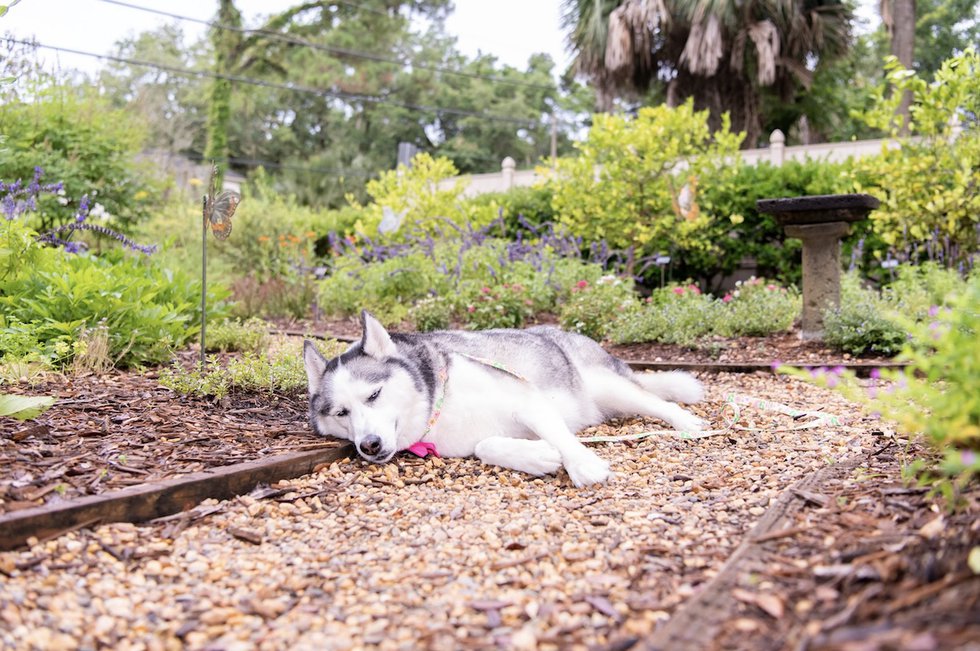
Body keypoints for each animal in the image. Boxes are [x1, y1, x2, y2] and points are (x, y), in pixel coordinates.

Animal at [302, 312, 708, 488]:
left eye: (374, 394)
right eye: (342, 412)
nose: (368, 445)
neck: (439, 406)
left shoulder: (528, 396)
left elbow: (560, 436)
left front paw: (581, 464)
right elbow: (487, 445)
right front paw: (537, 456)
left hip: (608, 385)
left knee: (656, 402)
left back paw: (686, 422)